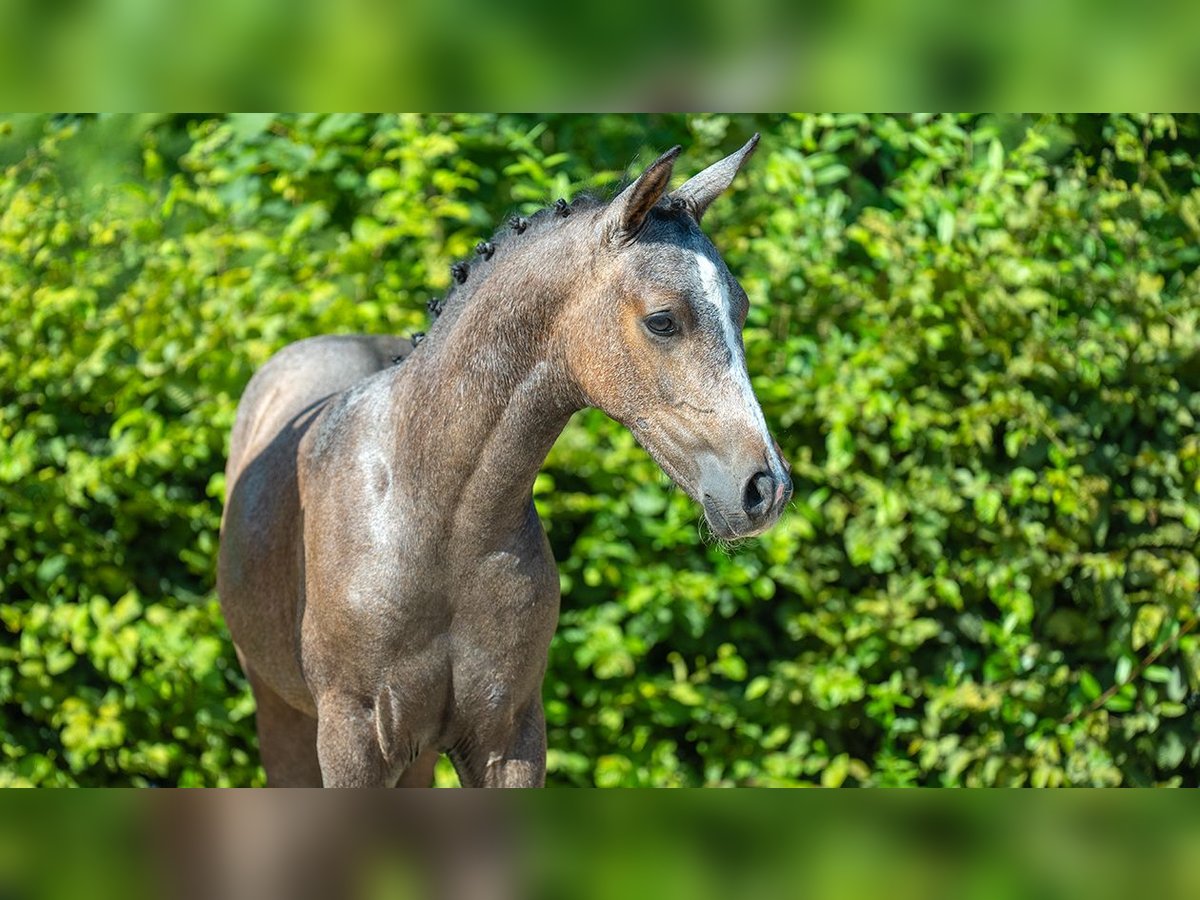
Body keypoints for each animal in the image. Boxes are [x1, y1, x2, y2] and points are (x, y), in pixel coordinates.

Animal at [219, 135, 792, 787]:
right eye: (663, 320)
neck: (433, 517)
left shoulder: (508, 736)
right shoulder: (352, 738)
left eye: (741, 310)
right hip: (282, 714)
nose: (766, 489)